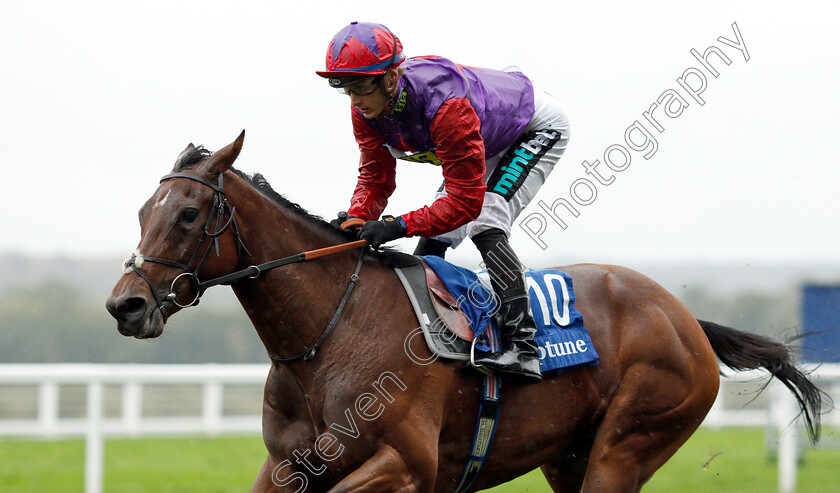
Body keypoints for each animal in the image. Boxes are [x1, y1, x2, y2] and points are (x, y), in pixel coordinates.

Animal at [106, 132, 828, 492]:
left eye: (189, 214)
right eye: (142, 211)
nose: (125, 304)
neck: (325, 337)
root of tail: (684, 317)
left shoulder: (405, 466)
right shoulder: (287, 467)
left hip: (630, 441)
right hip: (569, 456)